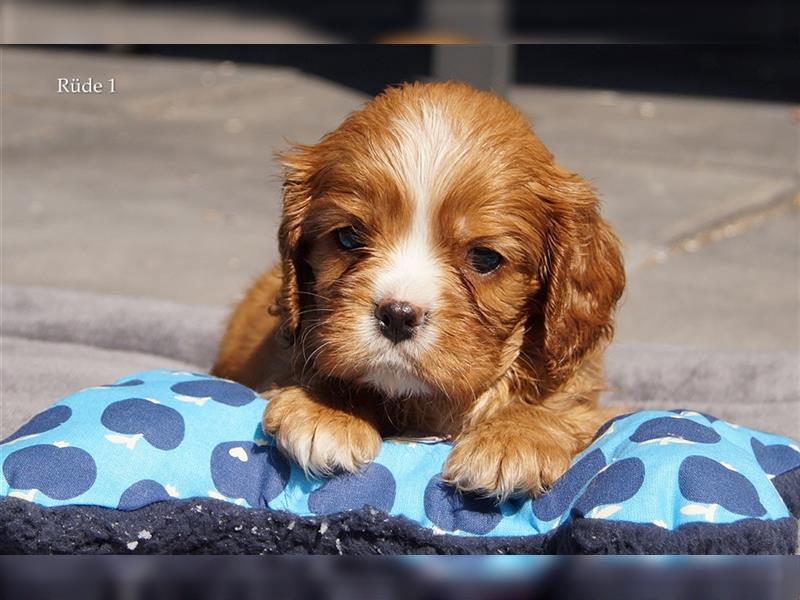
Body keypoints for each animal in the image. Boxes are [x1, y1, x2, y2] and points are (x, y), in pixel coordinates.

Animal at [212, 81, 624, 502]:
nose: (397, 315)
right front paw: (327, 410)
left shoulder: (589, 401)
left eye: (485, 258)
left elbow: (568, 410)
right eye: (348, 237)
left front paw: (513, 438)